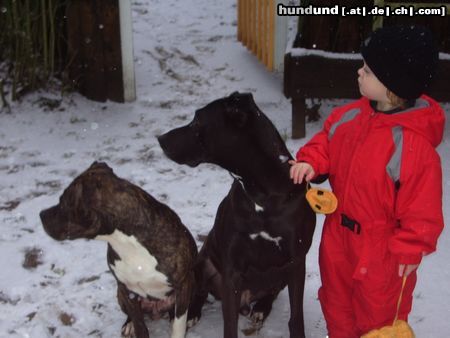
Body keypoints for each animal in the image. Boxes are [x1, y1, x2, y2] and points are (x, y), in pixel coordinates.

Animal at [40, 162, 197, 338]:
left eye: (63, 202)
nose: (41, 214)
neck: (126, 241)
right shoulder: (128, 290)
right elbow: (140, 325)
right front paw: (135, 326)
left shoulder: (183, 285)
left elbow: (178, 326)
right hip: (120, 294)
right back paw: (129, 325)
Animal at [158, 92, 316, 338]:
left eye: (197, 120)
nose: (161, 139)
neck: (262, 194)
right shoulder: (232, 271)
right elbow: (229, 324)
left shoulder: (297, 261)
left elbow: (296, 317)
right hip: (201, 263)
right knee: (200, 292)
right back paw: (193, 313)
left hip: (281, 275)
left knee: (271, 293)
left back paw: (261, 308)